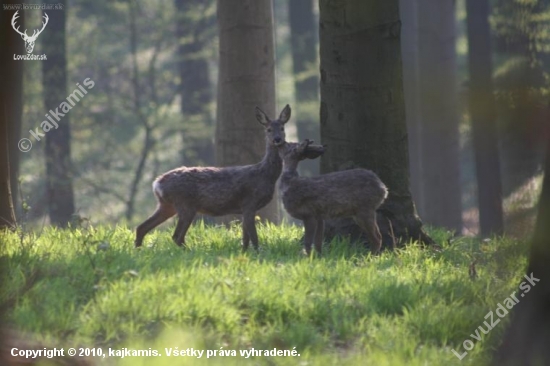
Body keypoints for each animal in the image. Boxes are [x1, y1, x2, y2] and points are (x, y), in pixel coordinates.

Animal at [136, 104, 294, 250]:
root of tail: (157, 184)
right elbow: (254, 238)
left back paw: (138, 250)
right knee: (176, 236)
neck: (265, 175)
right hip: (185, 204)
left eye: (282, 128)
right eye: (268, 129)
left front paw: (244, 253)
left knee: (142, 227)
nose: (277, 139)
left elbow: (245, 239)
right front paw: (257, 253)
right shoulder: (249, 202)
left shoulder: (245, 209)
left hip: (166, 205)